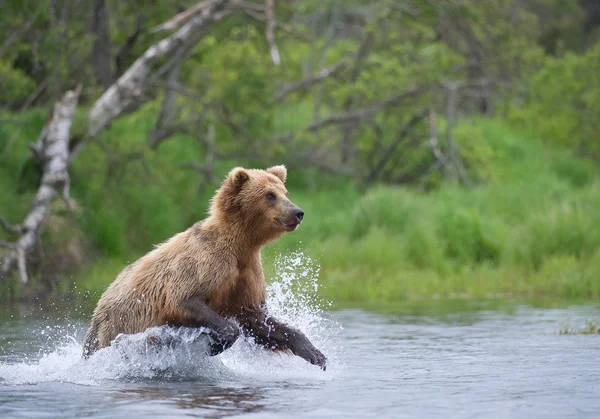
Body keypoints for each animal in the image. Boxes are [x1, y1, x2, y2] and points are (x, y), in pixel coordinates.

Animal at [82, 166, 326, 370]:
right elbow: (184, 300)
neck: (241, 244)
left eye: (285, 192)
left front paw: (314, 353)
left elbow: (258, 320)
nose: (298, 212)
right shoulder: (206, 263)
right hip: (116, 326)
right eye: (269, 195)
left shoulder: (246, 273)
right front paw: (214, 345)